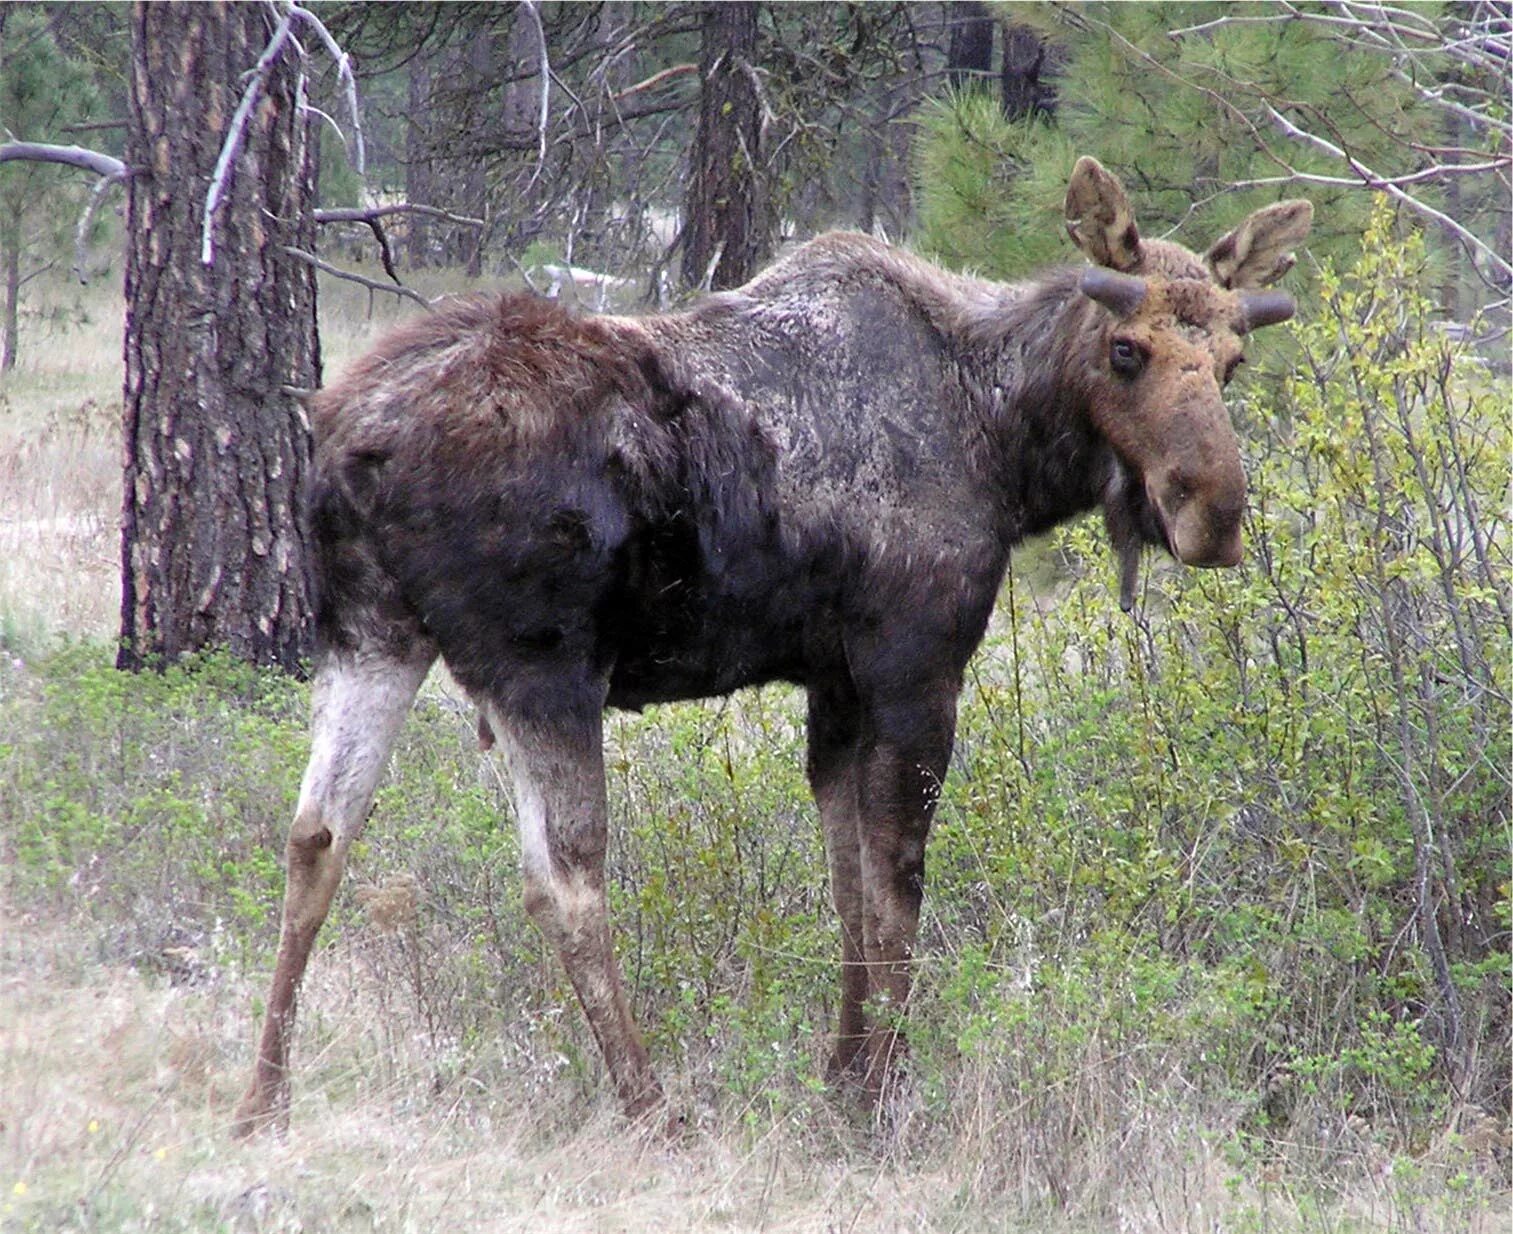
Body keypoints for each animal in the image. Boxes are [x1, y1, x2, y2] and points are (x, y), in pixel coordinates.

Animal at [229, 158, 1307, 1131]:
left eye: (1233, 361)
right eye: (1126, 350)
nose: (1214, 514)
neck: (1003, 441)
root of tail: (349, 437)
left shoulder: (834, 682)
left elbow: (846, 886)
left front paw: (841, 1077)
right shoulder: (914, 664)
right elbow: (897, 885)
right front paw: (883, 1097)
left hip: (369, 631)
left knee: (316, 835)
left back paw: (263, 1099)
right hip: (541, 663)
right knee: (562, 879)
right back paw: (650, 1106)